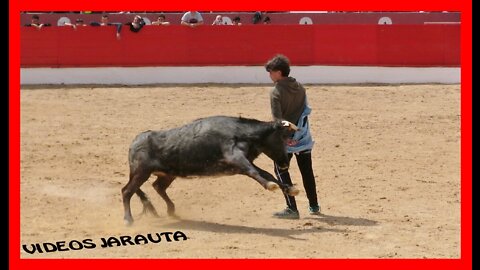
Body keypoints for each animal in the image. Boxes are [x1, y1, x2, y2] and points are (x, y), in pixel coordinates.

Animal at [122, 115, 298, 225]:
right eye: (283, 138)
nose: (285, 164)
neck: (242, 133)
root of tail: (134, 142)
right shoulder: (235, 158)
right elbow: (254, 172)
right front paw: (271, 186)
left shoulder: (241, 162)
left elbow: (266, 173)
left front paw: (290, 188)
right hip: (141, 172)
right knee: (127, 191)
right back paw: (128, 220)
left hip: (167, 174)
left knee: (157, 186)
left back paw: (172, 211)